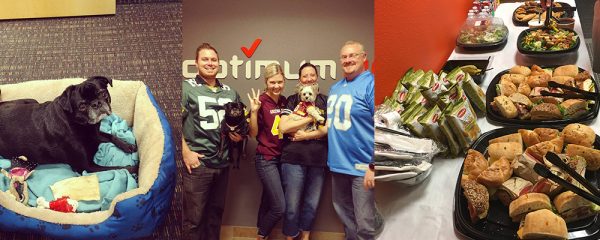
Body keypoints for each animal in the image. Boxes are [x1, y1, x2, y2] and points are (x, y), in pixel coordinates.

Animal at [0, 76, 138, 173]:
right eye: (82, 106)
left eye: (103, 94)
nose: (96, 103)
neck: (81, 125)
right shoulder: (87, 166)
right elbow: (120, 168)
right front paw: (136, 168)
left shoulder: (96, 135)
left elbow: (111, 136)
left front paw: (127, 145)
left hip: (32, 100)